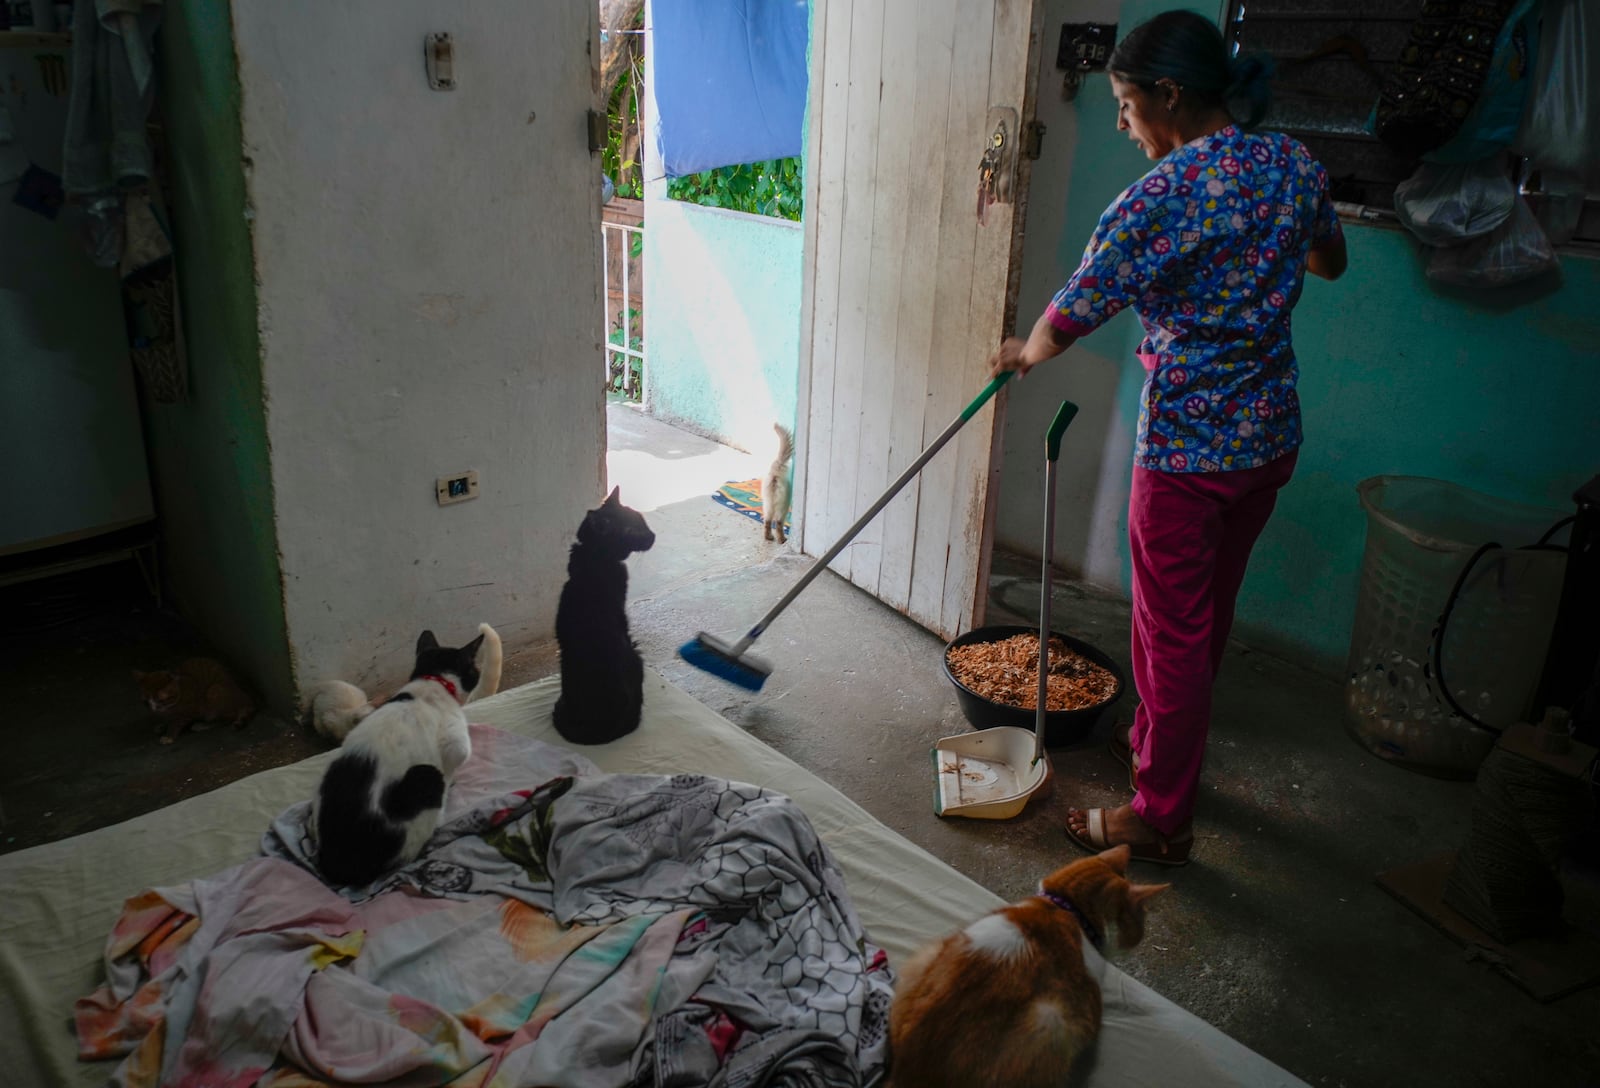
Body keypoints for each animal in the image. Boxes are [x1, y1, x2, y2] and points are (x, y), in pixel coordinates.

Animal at [304, 624, 492, 889]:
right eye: (474, 669)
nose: (479, 673)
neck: (433, 682)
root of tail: (339, 862)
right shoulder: (456, 745)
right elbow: (455, 763)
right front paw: (453, 782)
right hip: (426, 777)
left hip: (332, 769)